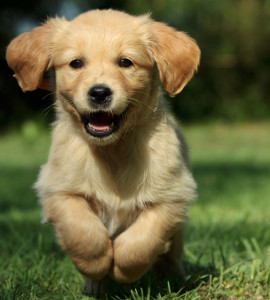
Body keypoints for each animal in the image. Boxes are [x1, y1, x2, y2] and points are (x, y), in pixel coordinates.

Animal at [5, 8, 200, 292]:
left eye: (125, 62)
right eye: (76, 63)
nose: (99, 93)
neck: (112, 151)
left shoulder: (172, 195)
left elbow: (142, 241)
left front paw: (122, 269)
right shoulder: (57, 189)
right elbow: (83, 232)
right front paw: (96, 267)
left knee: (172, 253)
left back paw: (174, 278)